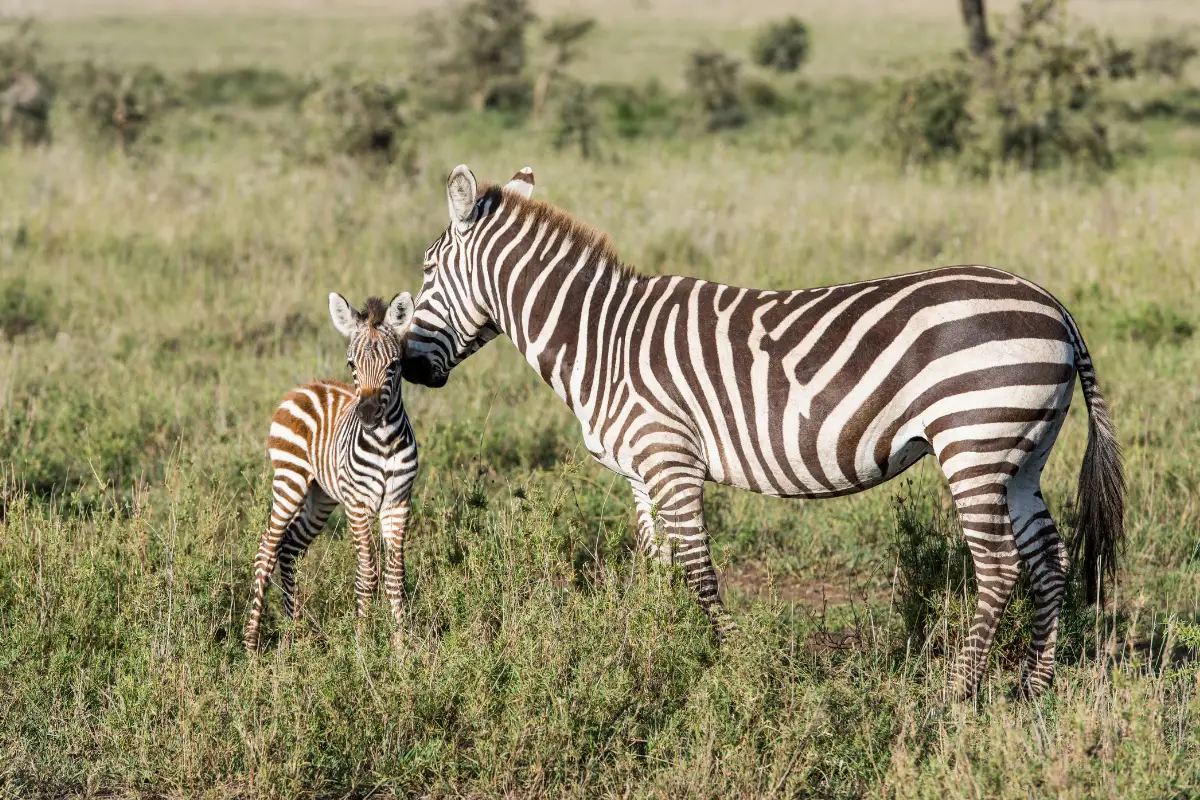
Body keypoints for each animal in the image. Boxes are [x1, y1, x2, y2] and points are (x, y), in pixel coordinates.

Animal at [243, 292, 419, 651]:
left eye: (393, 366)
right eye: (351, 364)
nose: (367, 413)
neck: (384, 442)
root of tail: (303, 387)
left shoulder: (398, 502)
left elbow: (396, 576)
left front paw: (401, 648)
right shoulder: (357, 504)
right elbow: (368, 571)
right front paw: (363, 643)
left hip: (320, 496)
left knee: (289, 548)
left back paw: (294, 628)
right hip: (290, 480)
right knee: (266, 550)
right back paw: (252, 644)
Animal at [400, 165, 1124, 698]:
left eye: (428, 271)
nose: (406, 367)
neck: (602, 338)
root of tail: (1053, 304)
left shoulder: (669, 457)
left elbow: (698, 567)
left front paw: (729, 662)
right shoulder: (640, 472)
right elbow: (658, 565)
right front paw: (657, 645)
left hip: (973, 442)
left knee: (1000, 567)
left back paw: (954, 692)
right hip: (1019, 456)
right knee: (1049, 558)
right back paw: (1033, 685)